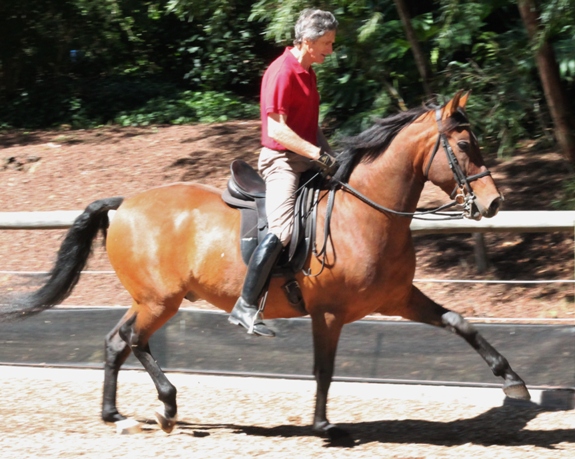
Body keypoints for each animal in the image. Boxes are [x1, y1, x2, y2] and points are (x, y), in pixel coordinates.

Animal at [0, 92, 532, 442]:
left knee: (117, 341)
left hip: (152, 298)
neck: (366, 213)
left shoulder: (399, 298)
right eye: (462, 147)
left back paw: (116, 414)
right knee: (133, 339)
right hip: (159, 300)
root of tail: (123, 203)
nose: (494, 203)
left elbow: (459, 322)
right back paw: (167, 404)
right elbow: (324, 368)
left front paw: (513, 381)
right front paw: (324, 425)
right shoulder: (330, 313)